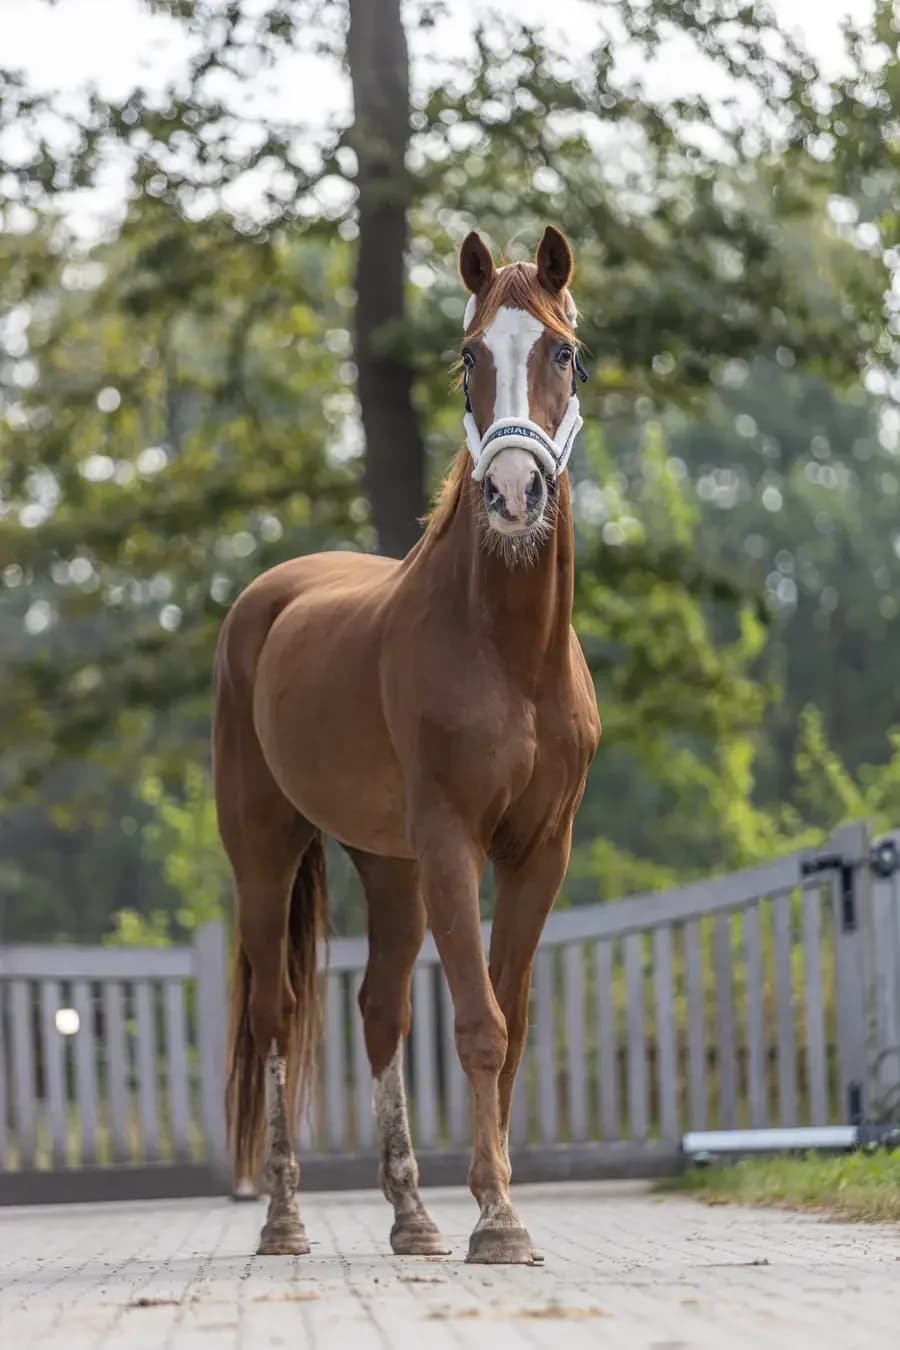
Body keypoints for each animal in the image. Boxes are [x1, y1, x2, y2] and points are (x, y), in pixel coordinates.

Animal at [214, 224, 601, 1265]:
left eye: (563, 353)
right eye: (469, 358)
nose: (512, 492)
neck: (507, 649)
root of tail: (266, 600)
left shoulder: (540, 852)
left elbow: (511, 1025)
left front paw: (486, 1204)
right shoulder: (453, 843)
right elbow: (478, 1024)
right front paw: (500, 1220)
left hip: (390, 869)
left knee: (378, 1011)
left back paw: (413, 1219)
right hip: (266, 851)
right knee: (275, 1016)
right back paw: (284, 1218)